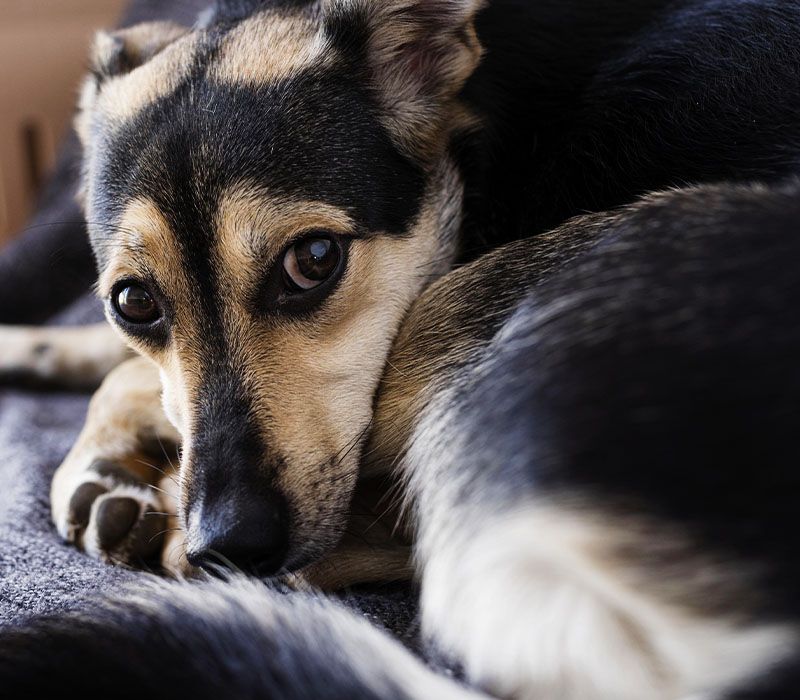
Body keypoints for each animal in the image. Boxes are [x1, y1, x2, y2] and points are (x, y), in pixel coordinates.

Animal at [1, 0, 800, 696]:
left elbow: (129, 379)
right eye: (134, 303)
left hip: (494, 291)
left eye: (314, 258)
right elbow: (122, 362)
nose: (229, 544)